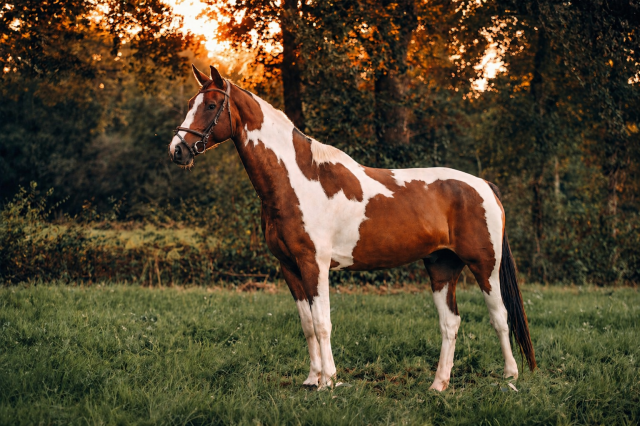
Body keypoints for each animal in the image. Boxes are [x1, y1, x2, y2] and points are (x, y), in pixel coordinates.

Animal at [169, 65, 536, 391]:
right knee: (450, 323)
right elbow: (307, 324)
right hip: (441, 267)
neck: (297, 181)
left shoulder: (314, 264)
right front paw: (312, 379)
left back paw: (510, 378)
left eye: (211, 106)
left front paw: (329, 382)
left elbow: (322, 323)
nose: (177, 150)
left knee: (500, 316)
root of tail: (484, 185)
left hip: (485, 266)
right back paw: (438, 385)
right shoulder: (289, 267)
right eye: (189, 104)